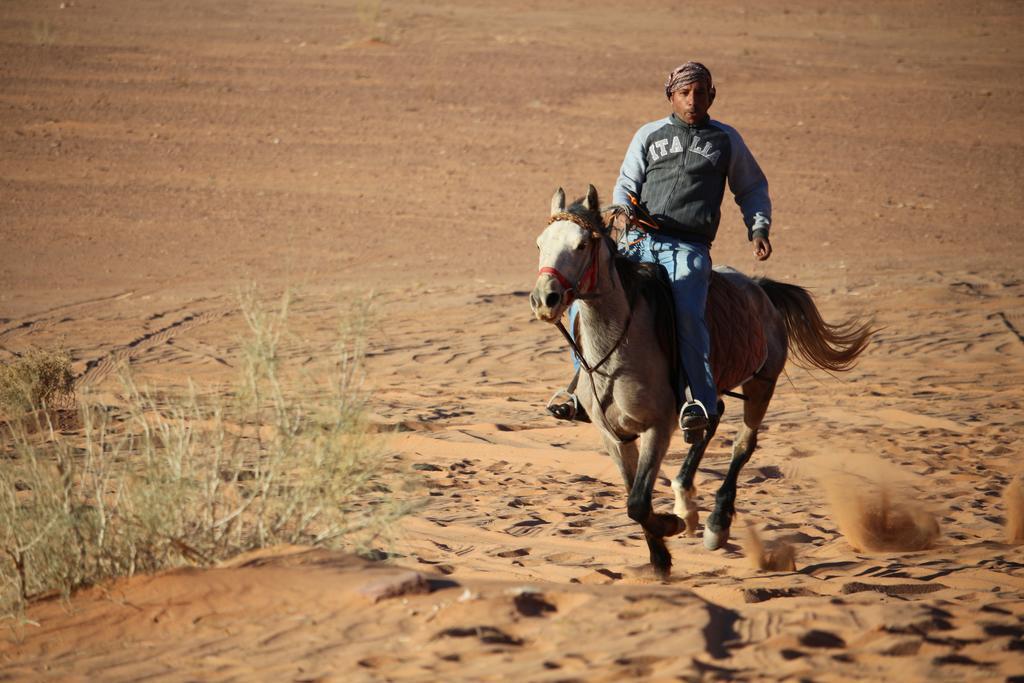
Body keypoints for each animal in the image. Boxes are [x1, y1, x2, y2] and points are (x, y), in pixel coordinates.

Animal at [528, 185, 872, 577]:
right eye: (540, 244)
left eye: (582, 245)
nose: (544, 298)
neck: (618, 346)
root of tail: (759, 289)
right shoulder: (614, 436)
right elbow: (633, 497)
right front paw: (660, 556)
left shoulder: (657, 427)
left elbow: (638, 502)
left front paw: (670, 528)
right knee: (711, 415)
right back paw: (686, 501)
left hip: (761, 385)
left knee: (742, 444)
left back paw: (715, 524)